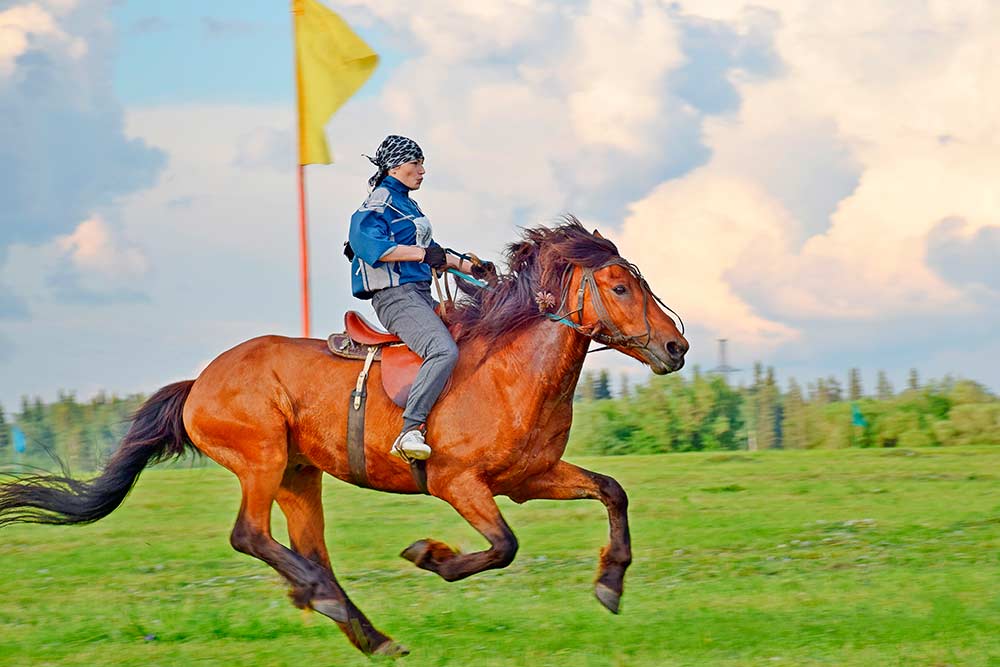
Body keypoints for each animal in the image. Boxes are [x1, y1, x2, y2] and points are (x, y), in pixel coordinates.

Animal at [0, 217, 688, 656]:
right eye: (620, 286)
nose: (676, 347)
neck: (509, 371)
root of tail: (200, 381)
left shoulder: (530, 477)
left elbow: (612, 491)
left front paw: (610, 584)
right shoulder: (457, 482)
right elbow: (504, 546)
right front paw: (431, 556)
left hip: (298, 476)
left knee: (311, 552)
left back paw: (365, 630)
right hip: (261, 458)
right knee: (251, 535)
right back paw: (322, 599)